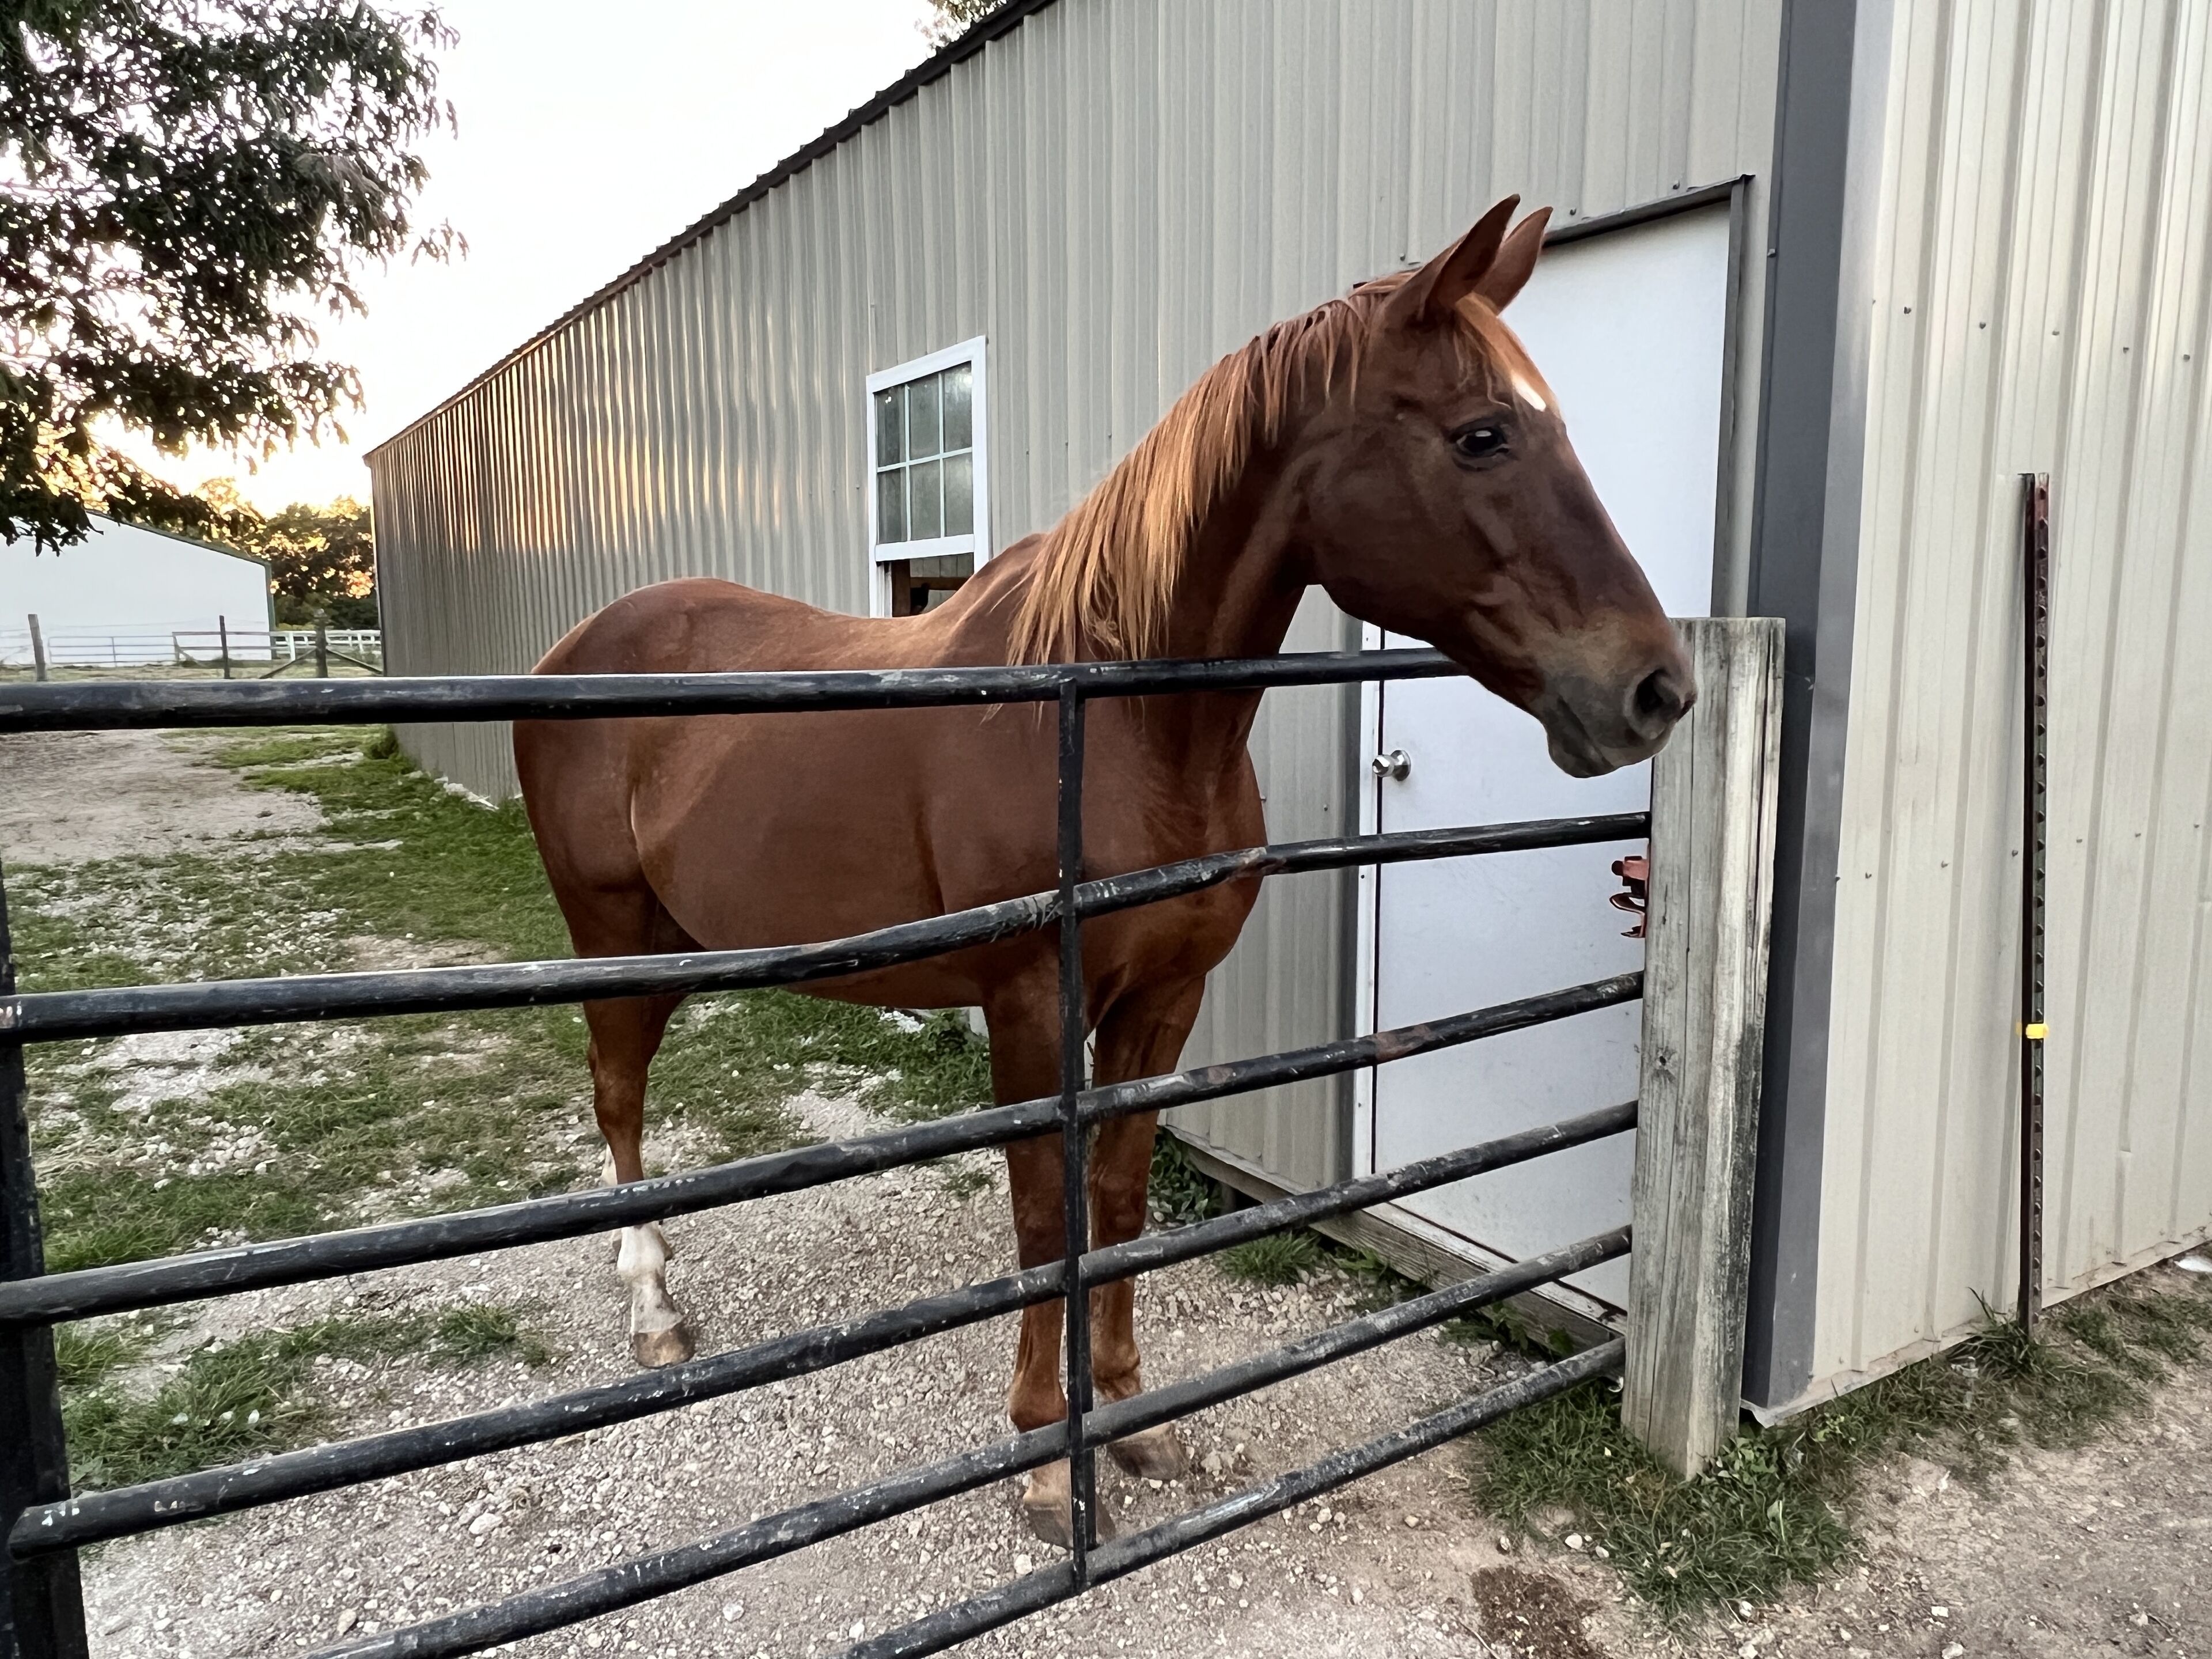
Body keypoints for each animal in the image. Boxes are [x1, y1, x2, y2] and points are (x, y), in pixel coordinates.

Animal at [513, 196, 1694, 1545]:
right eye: (1482, 434)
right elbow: (1044, 1216)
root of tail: (571, 651)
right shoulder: (1034, 1004)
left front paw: (1130, 1417)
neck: (1122, 721)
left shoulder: (1165, 999)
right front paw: (1039, 1454)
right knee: (617, 1094)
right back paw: (654, 1309)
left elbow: (1118, 1206)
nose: (1655, 688)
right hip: (609, 929)